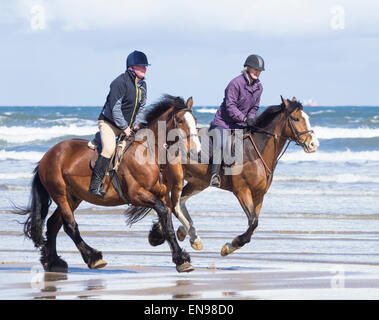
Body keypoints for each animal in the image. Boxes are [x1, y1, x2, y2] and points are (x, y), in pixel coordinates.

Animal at [15, 94, 202, 272]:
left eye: (195, 120)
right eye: (180, 120)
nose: (197, 152)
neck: (149, 152)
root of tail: (48, 154)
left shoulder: (162, 194)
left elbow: (167, 220)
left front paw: (175, 254)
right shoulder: (136, 194)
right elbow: (163, 212)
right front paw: (178, 255)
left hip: (72, 197)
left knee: (53, 224)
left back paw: (53, 262)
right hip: (59, 193)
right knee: (70, 225)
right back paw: (93, 258)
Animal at [149, 96, 320, 256]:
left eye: (308, 118)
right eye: (296, 118)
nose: (313, 145)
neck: (255, 152)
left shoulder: (259, 195)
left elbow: (254, 224)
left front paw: (232, 245)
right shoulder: (242, 191)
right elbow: (253, 222)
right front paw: (231, 246)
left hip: (199, 182)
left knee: (181, 201)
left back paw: (188, 233)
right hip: (177, 178)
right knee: (175, 205)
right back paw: (186, 234)